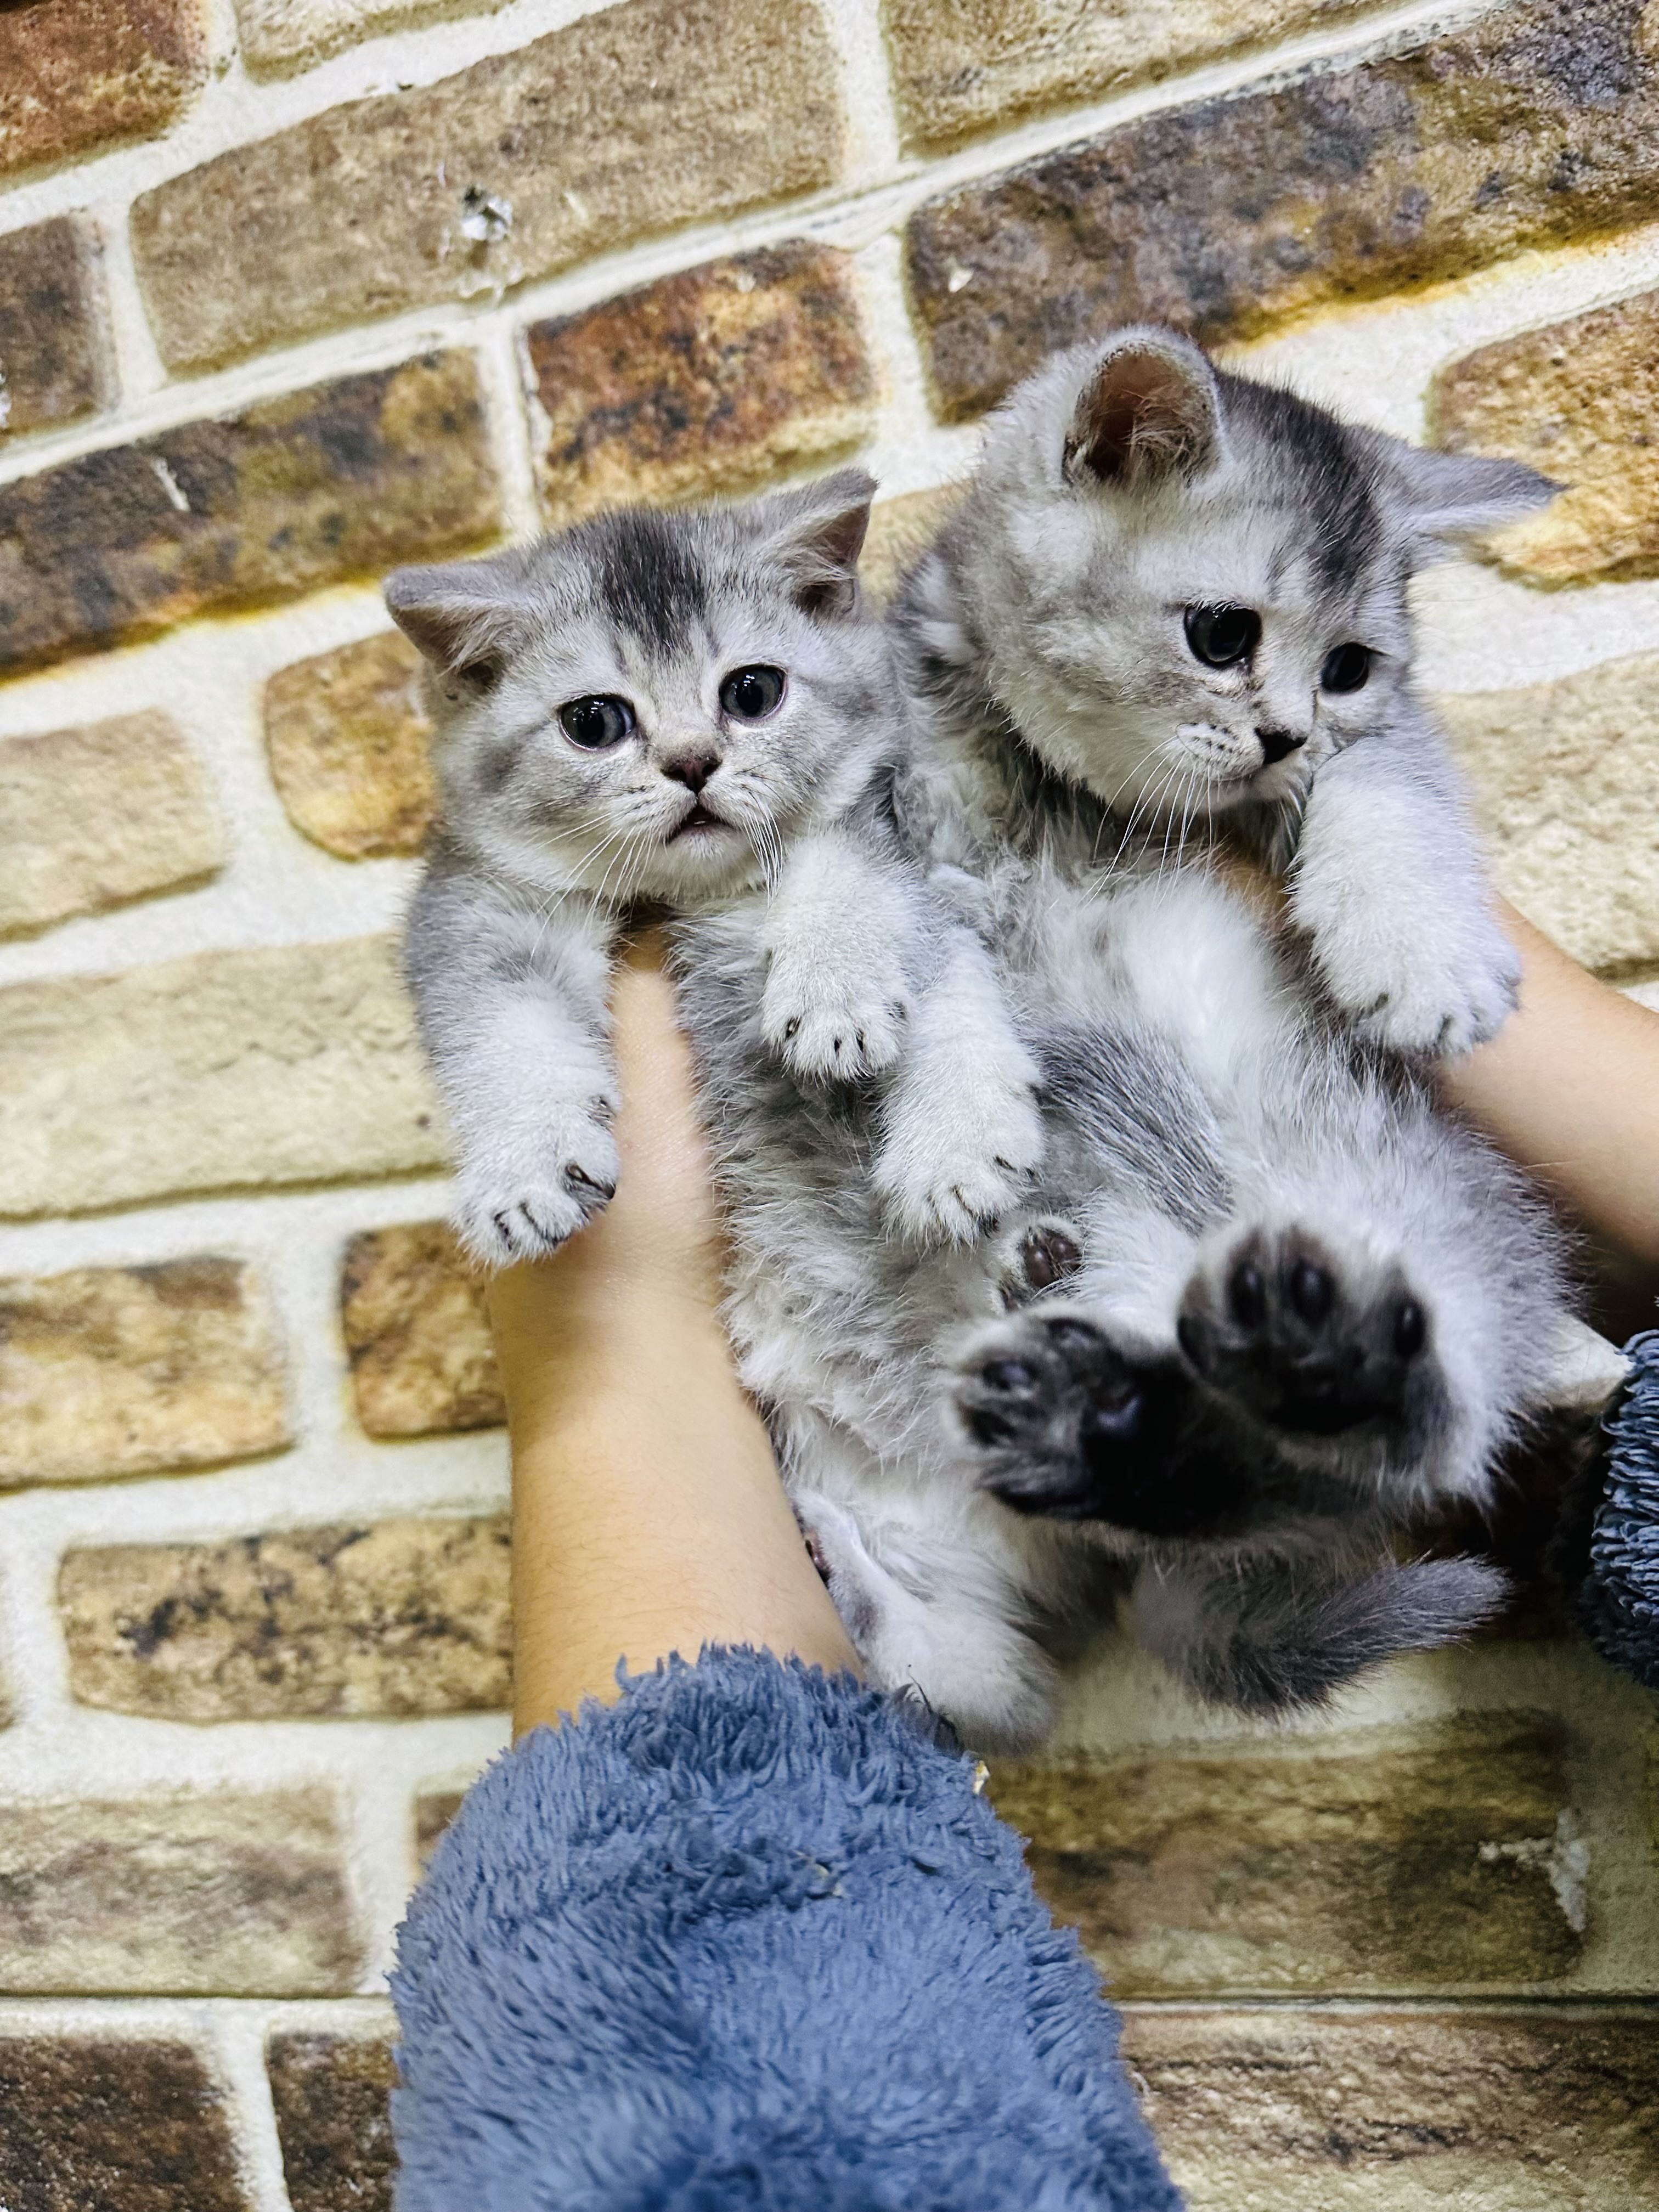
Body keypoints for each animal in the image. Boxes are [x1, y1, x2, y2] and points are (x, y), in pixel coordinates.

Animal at [388, 470, 1044, 1272]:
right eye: (593, 723)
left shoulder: (910, 843)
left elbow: (902, 925)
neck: (698, 891)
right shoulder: (476, 901)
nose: (694, 763)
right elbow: (503, 1023)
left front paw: (854, 1016)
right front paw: (526, 1169)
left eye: (752, 692)